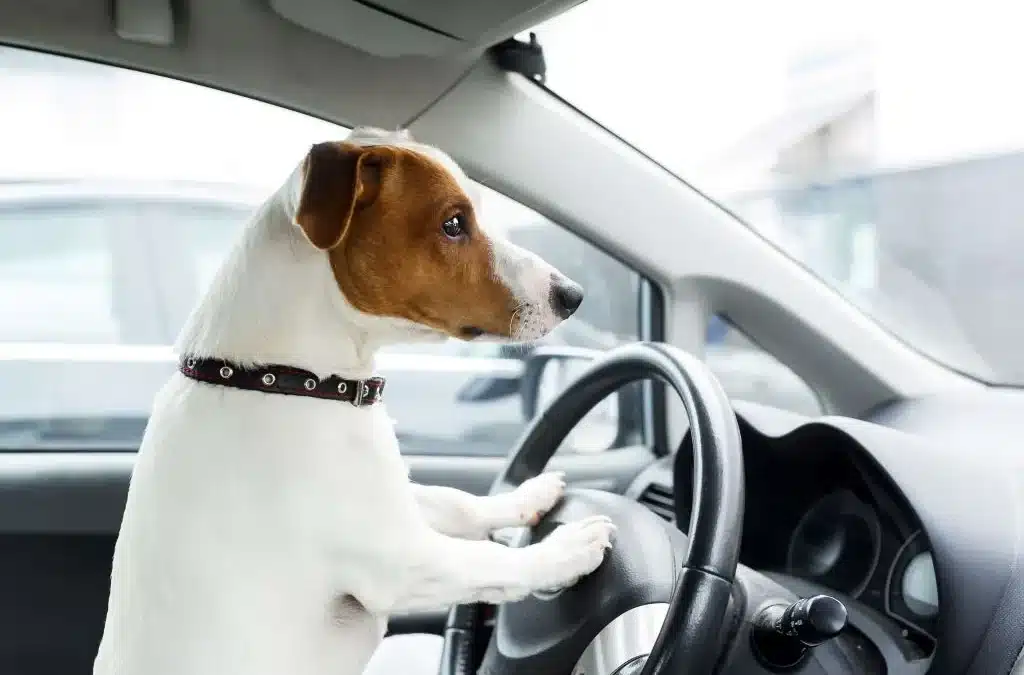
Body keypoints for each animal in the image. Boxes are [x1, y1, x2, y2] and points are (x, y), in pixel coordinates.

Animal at [92, 128, 614, 675]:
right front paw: (567, 549)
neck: (284, 381)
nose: (573, 295)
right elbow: (493, 562)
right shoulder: (403, 559)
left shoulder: (390, 501)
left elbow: (458, 501)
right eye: (453, 223)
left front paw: (528, 495)